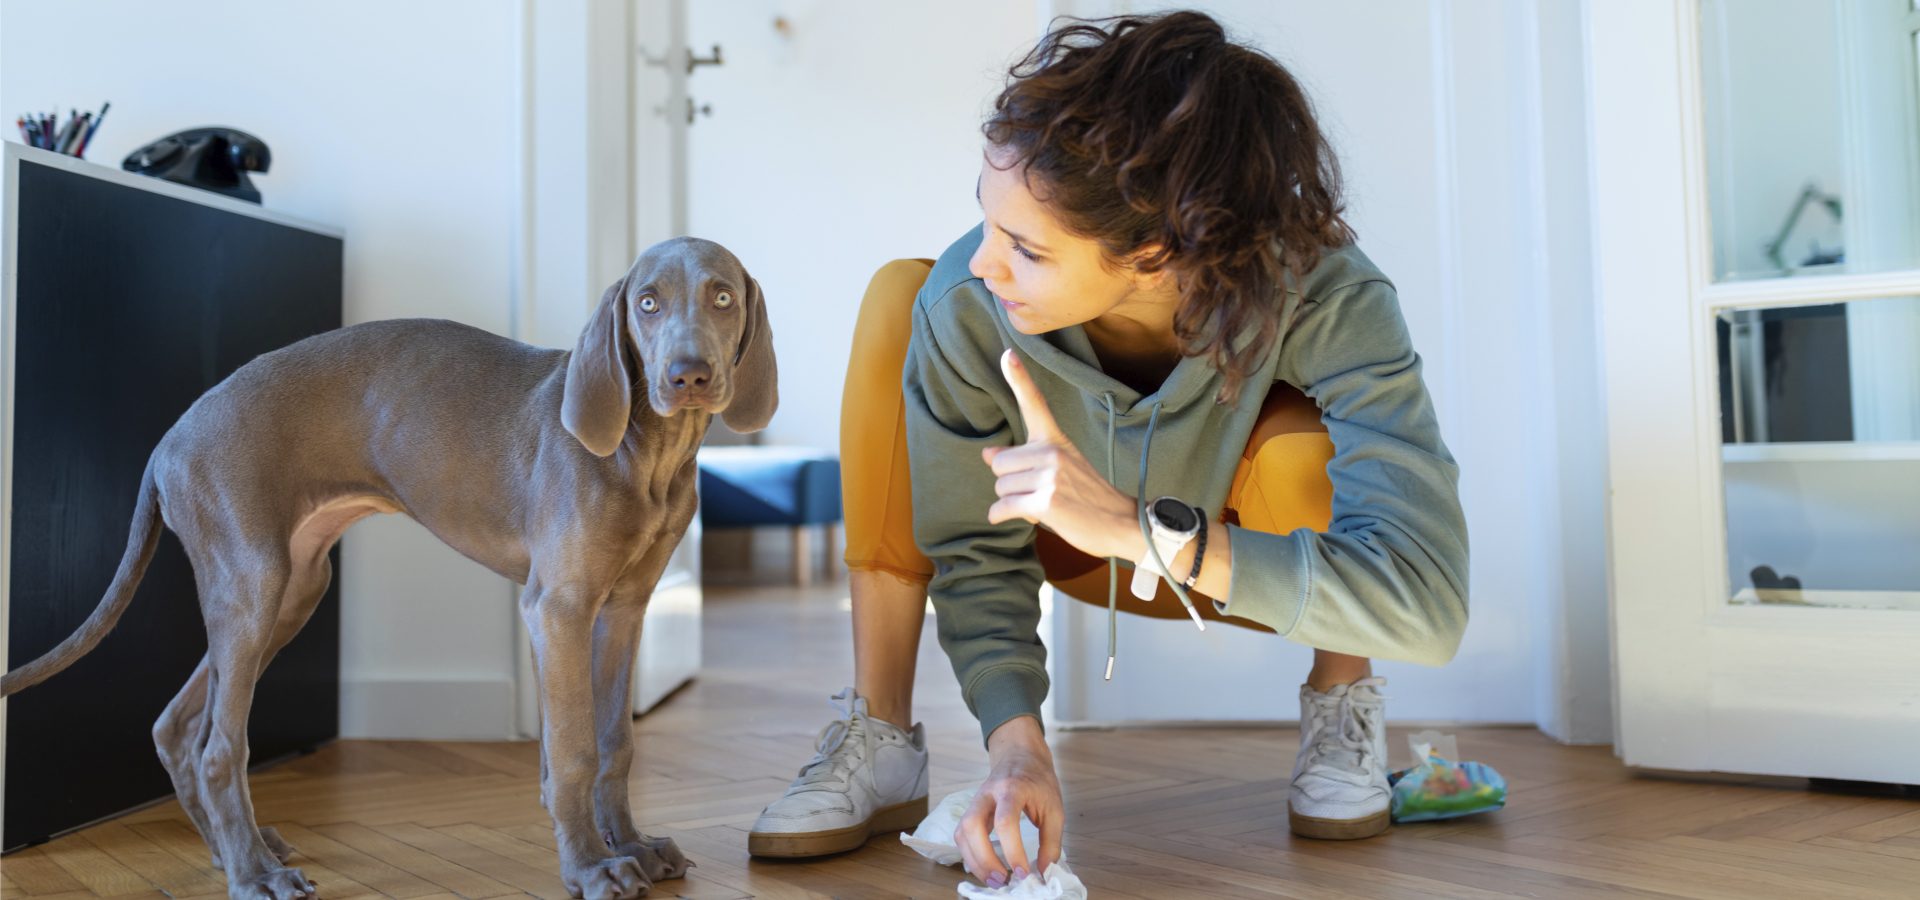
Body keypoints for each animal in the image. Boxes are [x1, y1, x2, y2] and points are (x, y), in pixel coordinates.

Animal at [7, 235, 775, 894]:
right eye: (646, 302)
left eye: (722, 296)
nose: (688, 375)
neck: (648, 455)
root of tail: (168, 440)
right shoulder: (557, 607)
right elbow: (576, 750)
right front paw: (591, 867)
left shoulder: (623, 610)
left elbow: (615, 742)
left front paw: (633, 847)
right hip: (251, 586)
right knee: (217, 747)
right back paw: (253, 874)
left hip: (291, 591)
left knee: (175, 726)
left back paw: (239, 851)